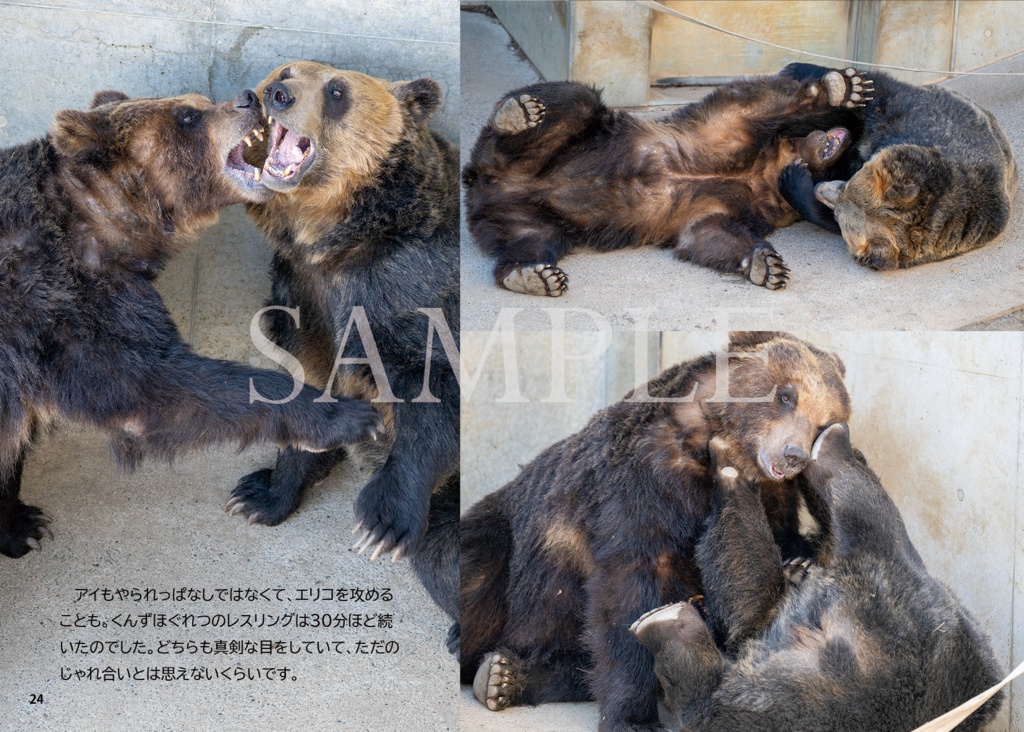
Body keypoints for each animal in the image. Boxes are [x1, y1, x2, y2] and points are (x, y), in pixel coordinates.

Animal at [0, 89, 383, 559]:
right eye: (186, 115)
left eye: (200, 101)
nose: (247, 98)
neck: (96, 222)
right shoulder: (62, 302)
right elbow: (153, 387)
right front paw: (344, 415)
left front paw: (20, 523)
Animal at [220, 61, 461, 650]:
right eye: (286, 70)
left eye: (335, 91)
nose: (275, 94)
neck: (332, 242)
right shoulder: (301, 298)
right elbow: (307, 389)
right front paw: (261, 494)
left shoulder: (406, 284)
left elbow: (437, 384)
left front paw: (381, 524)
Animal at [460, 332, 852, 732]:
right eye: (786, 396)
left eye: (823, 422)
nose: (793, 455)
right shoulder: (644, 486)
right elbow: (630, 588)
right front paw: (633, 717)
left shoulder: (772, 500)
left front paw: (798, 563)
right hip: (508, 544)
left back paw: (503, 676)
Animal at [462, 68, 873, 294]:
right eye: (844, 164)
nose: (849, 137)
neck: (765, 174)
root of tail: (485, 184)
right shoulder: (732, 133)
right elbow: (756, 102)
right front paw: (844, 87)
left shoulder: (737, 204)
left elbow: (710, 234)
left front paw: (765, 264)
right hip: (549, 147)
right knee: (575, 99)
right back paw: (518, 112)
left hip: (533, 221)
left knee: (531, 242)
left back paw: (533, 276)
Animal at [778, 63, 1018, 270]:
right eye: (848, 185)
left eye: (839, 213)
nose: (820, 188)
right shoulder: (919, 118)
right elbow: (880, 95)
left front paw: (794, 178)